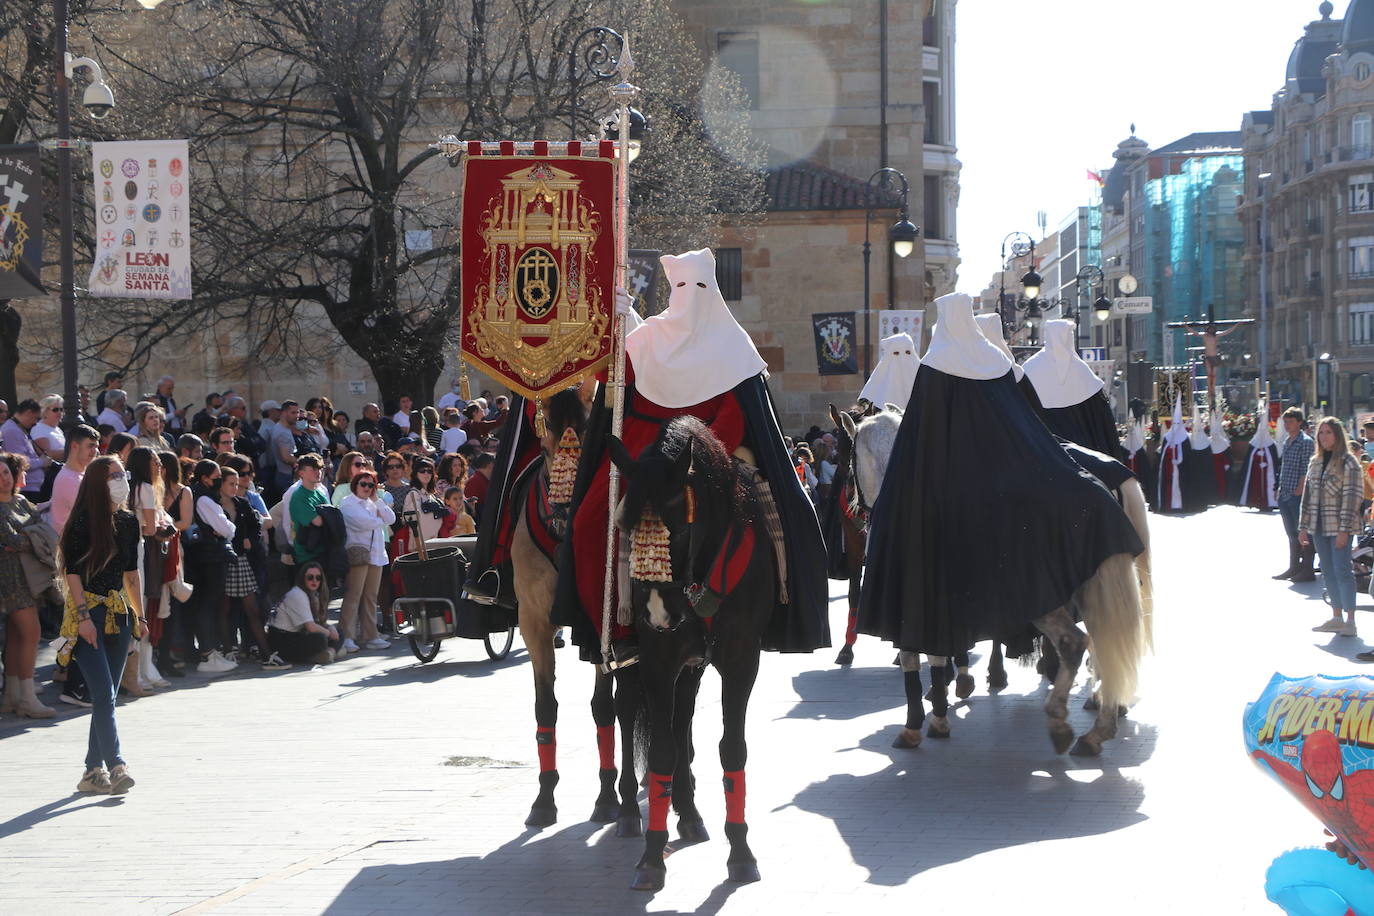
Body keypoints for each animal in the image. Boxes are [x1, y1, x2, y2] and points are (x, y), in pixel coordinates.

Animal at [610, 420, 774, 889]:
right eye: (626, 530)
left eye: (679, 532)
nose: (656, 617)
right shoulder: (658, 663)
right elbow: (661, 751)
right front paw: (651, 857)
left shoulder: (741, 662)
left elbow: (731, 748)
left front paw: (740, 851)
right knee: (624, 711)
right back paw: (627, 809)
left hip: (694, 668)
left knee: (682, 717)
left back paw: (688, 811)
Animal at [840, 409, 1154, 758]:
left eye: (850, 462)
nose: (856, 511)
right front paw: (945, 701)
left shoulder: (915, 603)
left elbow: (918, 655)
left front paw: (922, 721)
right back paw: (1100, 717)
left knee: (1081, 641)